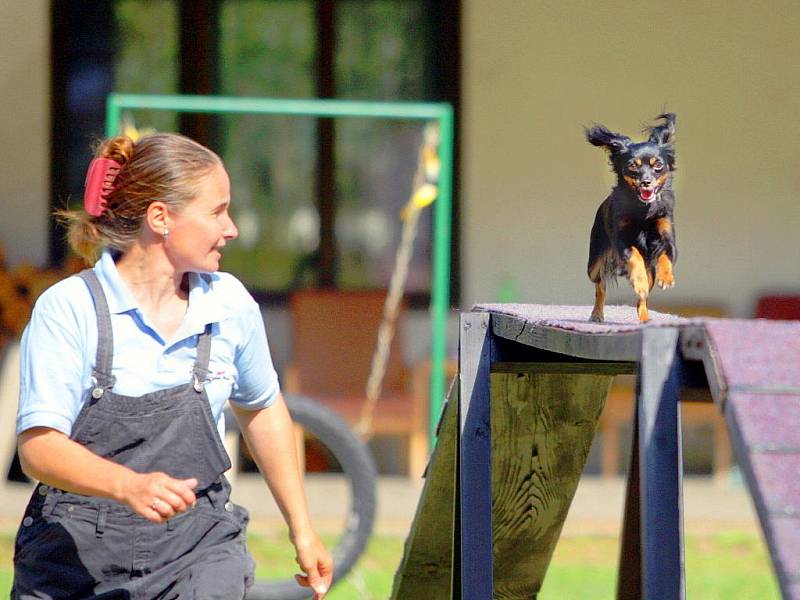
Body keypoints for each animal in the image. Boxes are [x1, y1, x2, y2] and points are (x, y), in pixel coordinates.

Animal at [588, 115, 676, 326]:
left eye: (658, 165)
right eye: (633, 166)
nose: (646, 182)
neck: (643, 209)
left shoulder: (667, 238)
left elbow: (666, 255)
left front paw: (666, 278)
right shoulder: (623, 242)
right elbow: (634, 257)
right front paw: (638, 280)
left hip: (648, 268)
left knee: (641, 298)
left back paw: (644, 317)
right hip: (594, 264)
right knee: (600, 284)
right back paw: (597, 313)